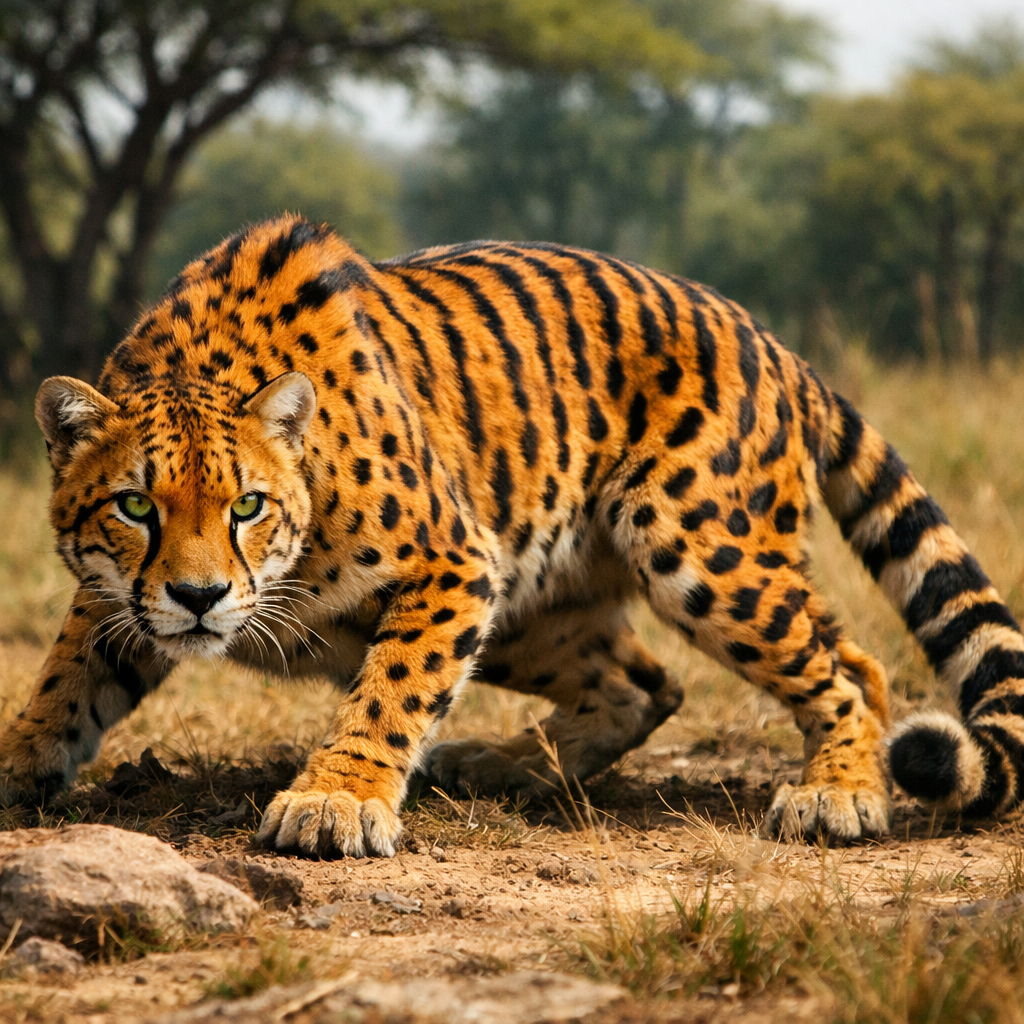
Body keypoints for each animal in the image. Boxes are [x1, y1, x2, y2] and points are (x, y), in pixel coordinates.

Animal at [2, 214, 1021, 858]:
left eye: (246, 507)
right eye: (136, 507)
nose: (201, 596)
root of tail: (763, 332)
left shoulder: (454, 563)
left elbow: (391, 690)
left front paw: (336, 799)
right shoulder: (115, 602)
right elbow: (63, 684)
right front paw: (19, 763)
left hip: (697, 546)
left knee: (846, 670)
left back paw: (839, 791)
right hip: (535, 606)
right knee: (653, 681)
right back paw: (506, 765)